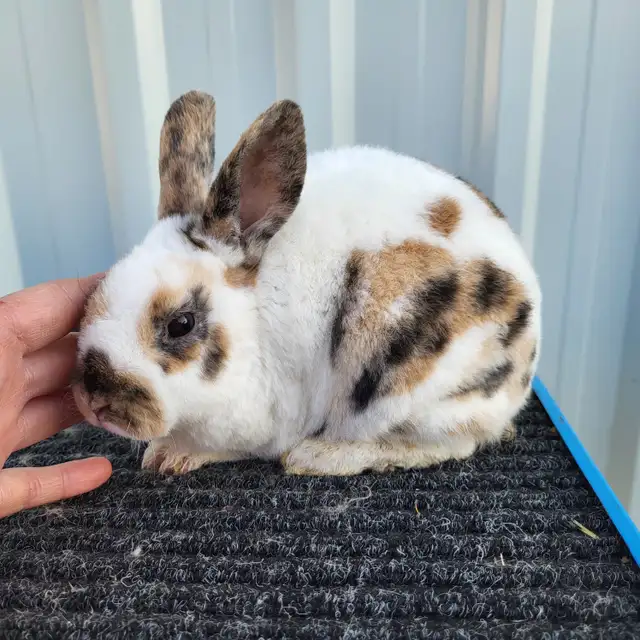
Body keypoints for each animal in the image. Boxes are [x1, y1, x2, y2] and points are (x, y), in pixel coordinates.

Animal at [71, 89, 541, 476]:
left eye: (180, 324)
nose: (94, 399)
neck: (251, 324)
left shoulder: (262, 421)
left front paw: (172, 456)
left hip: (408, 388)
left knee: (452, 444)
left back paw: (318, 456)